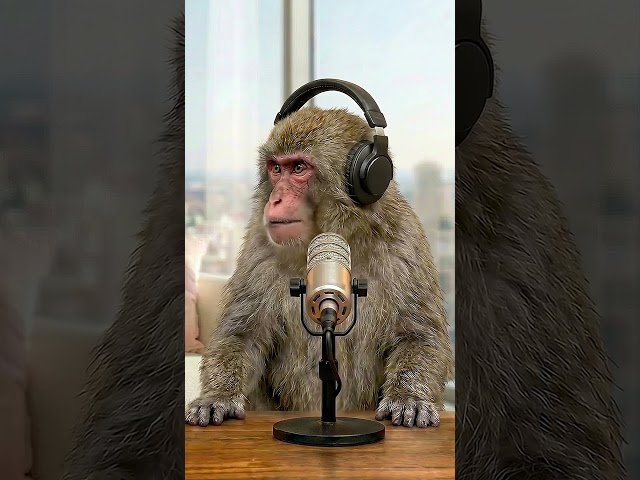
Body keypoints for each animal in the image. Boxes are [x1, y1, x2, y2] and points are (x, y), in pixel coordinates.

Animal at [185, 106, 455, 429]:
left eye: (299, 168)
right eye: (276, 169)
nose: (275, 199)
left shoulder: (405, 244)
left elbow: (418, 336)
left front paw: (409, 398)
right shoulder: (259, 247)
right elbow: (242, 335)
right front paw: (218, 396)